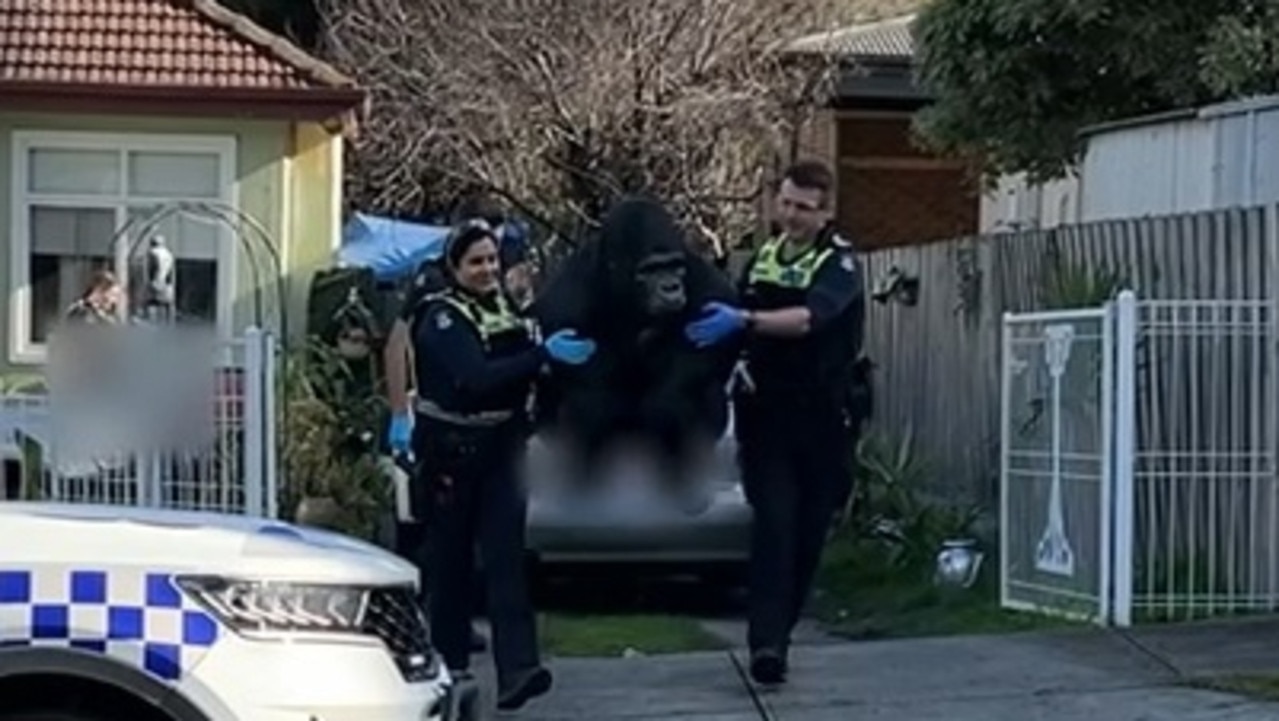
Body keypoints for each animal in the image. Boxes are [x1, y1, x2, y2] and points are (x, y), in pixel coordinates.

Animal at [526, 196, 741, 501]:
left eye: (674, 265)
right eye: (649, 270)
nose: (671, 287)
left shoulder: (711, 285)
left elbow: (705, 358)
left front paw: (669, 402)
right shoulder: (564, 297)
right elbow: (587, 380)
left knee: (704, 388)